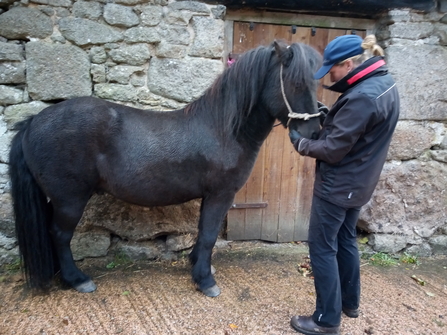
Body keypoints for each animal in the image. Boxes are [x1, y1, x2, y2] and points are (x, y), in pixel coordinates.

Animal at [7, 40, 322, 300]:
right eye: (295, 83)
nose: (314, 133)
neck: (224, 129)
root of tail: (33, 122)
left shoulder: (210, 197)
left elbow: (202, 234)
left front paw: (198, 268)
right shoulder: (221, 194)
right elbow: (209, 236)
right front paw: (205, 282)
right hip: (69, 200)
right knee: (60, 235)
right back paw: (77, 279)